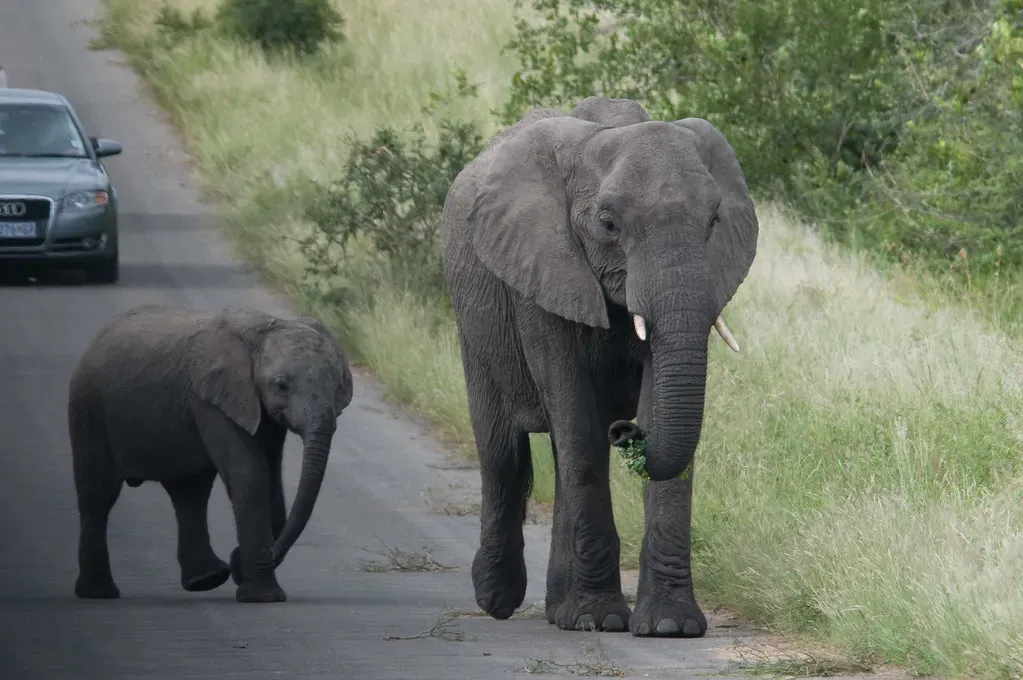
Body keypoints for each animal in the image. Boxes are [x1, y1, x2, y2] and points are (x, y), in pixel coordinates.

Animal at [68, 304, 354, 603]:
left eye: (338, 387)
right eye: (281, 385)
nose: (238, 563)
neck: (263, 330)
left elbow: (271, 478)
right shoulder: (212, 400)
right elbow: (250, 475)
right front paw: (263, 597)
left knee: (190, 492)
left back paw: (206, 579)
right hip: (88, 409)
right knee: (98, 496)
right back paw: (98, 593)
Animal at [440, 97, 758, 636]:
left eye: (714, 221)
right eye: (609, 224)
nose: (627, 431)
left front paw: (670, 626)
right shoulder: (541, 273)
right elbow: (579, 427)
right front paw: (599, 618)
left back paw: (559, 610)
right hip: (474, 322)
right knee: (505, 454)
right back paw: (500, 600)